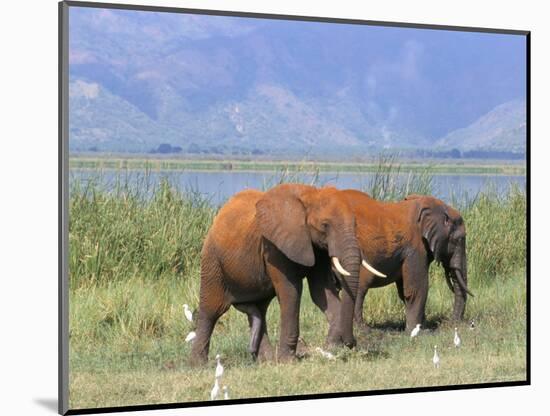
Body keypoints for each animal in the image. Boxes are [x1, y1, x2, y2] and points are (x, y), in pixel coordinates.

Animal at [190, 184, 384, 362]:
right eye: (325, 225)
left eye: (355, 224)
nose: (351, 343)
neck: (311, 194)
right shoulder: (274, 247)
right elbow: (291, 292)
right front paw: (287, 361)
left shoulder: (316, 247)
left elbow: (321, 291)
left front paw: (332, 347)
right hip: (212, 261)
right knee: (211, 310)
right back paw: (199, 365)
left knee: (259, 311)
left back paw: (266, 360)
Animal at [340, 191, 474, 332]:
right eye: (459, 239)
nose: (452, 323)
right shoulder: (415, 247)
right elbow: (417, 288)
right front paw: (417, 331)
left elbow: (403, 290)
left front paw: (421, 325)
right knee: (360, 287)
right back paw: (363, 329)